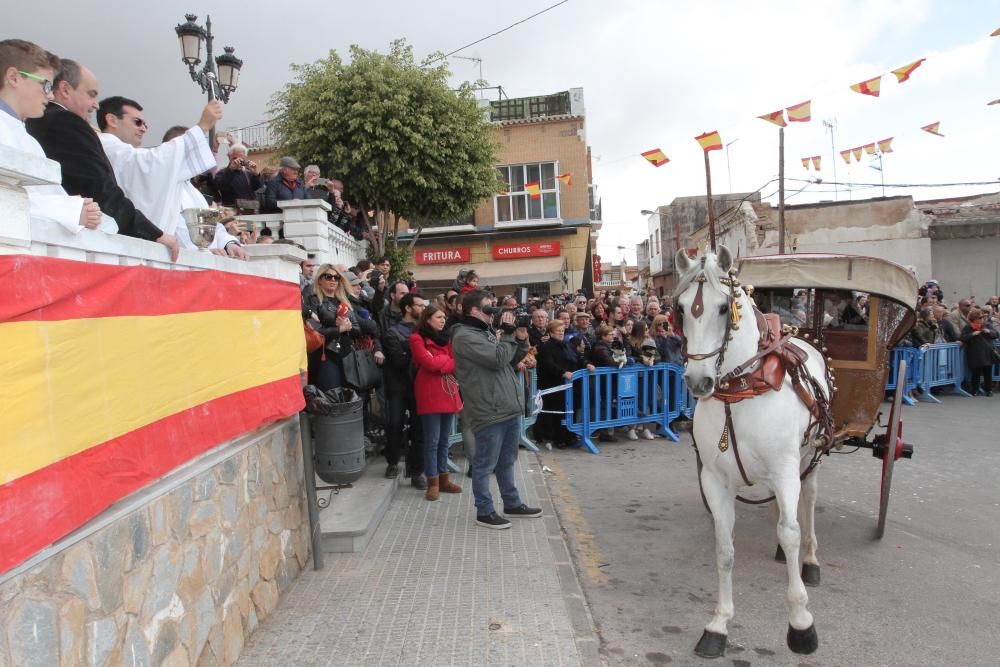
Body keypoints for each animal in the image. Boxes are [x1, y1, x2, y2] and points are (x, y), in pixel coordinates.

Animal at [676, 248, 832, 660]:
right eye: (680, 308)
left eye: (721, 308)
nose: (698, 381)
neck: (741, 391)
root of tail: (802, 337)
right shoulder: (714, 479)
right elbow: (724, 546)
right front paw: (718, 624)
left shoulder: (785, 469)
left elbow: (792, 532)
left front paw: (801, 623)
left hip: (810, 455)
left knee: (808, 502)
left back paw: (810, 558)